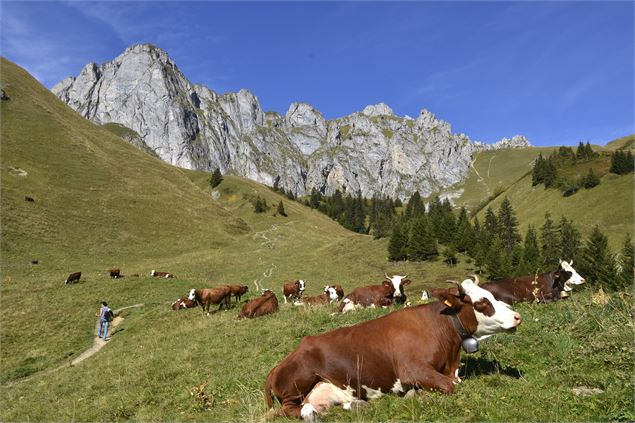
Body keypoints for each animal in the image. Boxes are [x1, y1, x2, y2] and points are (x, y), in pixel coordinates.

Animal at [264, 278, 520, 420]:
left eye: (492, 295)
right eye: (481, 303)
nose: (517, 316)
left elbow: (454, 383)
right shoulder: (412, 370)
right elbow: (448, 387)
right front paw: (415, 394)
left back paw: (355, 404)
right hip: (299, 382)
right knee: (287, 410)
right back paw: (311, 413)